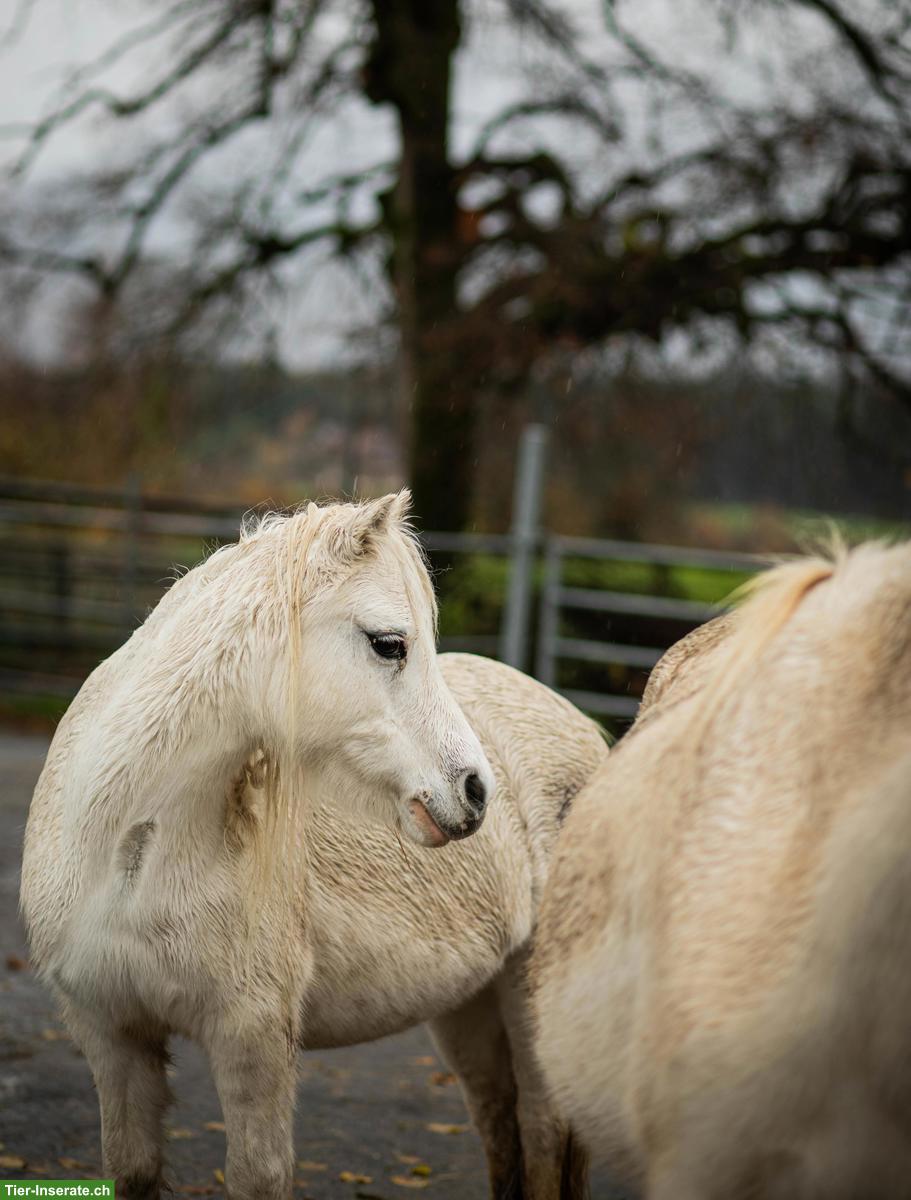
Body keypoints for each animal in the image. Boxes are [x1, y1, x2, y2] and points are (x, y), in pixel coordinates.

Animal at [21, 493, 608, 1200]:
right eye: (389, 644)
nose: (476, 790)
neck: (128, 853)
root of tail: (582, 728)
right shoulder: (111, 1038)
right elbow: (131, 1166)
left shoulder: (253, 1044)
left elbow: (258, 1175)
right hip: (472, 1009)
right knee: (501, 1128)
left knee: (543, 1139)